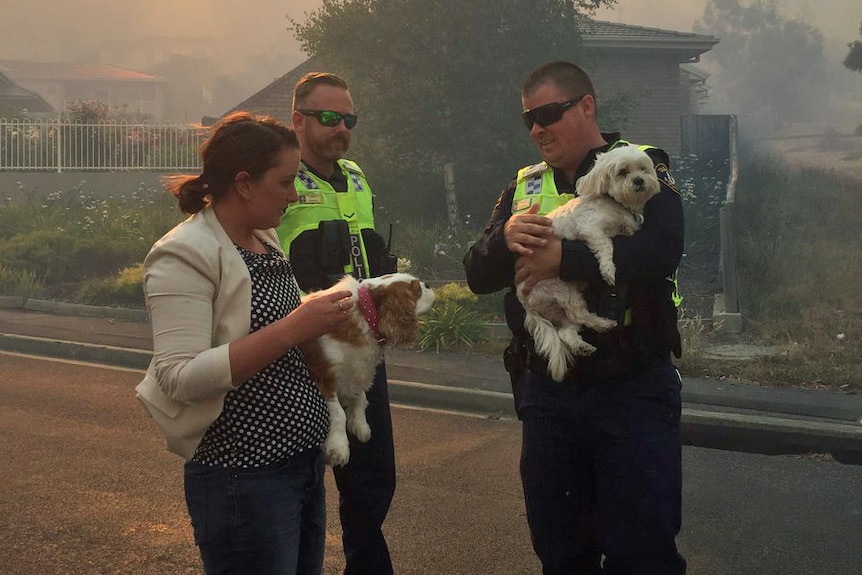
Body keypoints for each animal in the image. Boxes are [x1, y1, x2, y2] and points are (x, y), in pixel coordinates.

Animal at [306, 272, 438, 466]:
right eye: (416, 290)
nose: (428, 284)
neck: (364, 313)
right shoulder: (323, 376)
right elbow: (338, 413)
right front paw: (339, 447)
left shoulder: (357, 372)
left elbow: (361, 397)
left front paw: (360, 424)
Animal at [520, 146, 660, 382]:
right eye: (622, 172)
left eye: (643, 168)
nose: (639, 180)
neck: (614, 204)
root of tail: (526, 304)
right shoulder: (591, 228)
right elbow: (606, 246)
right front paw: (608, 270)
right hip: (562, 289)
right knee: (579, 315)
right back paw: (605, 324)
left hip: (563, 307)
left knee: (567, 330)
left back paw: (583, 345)